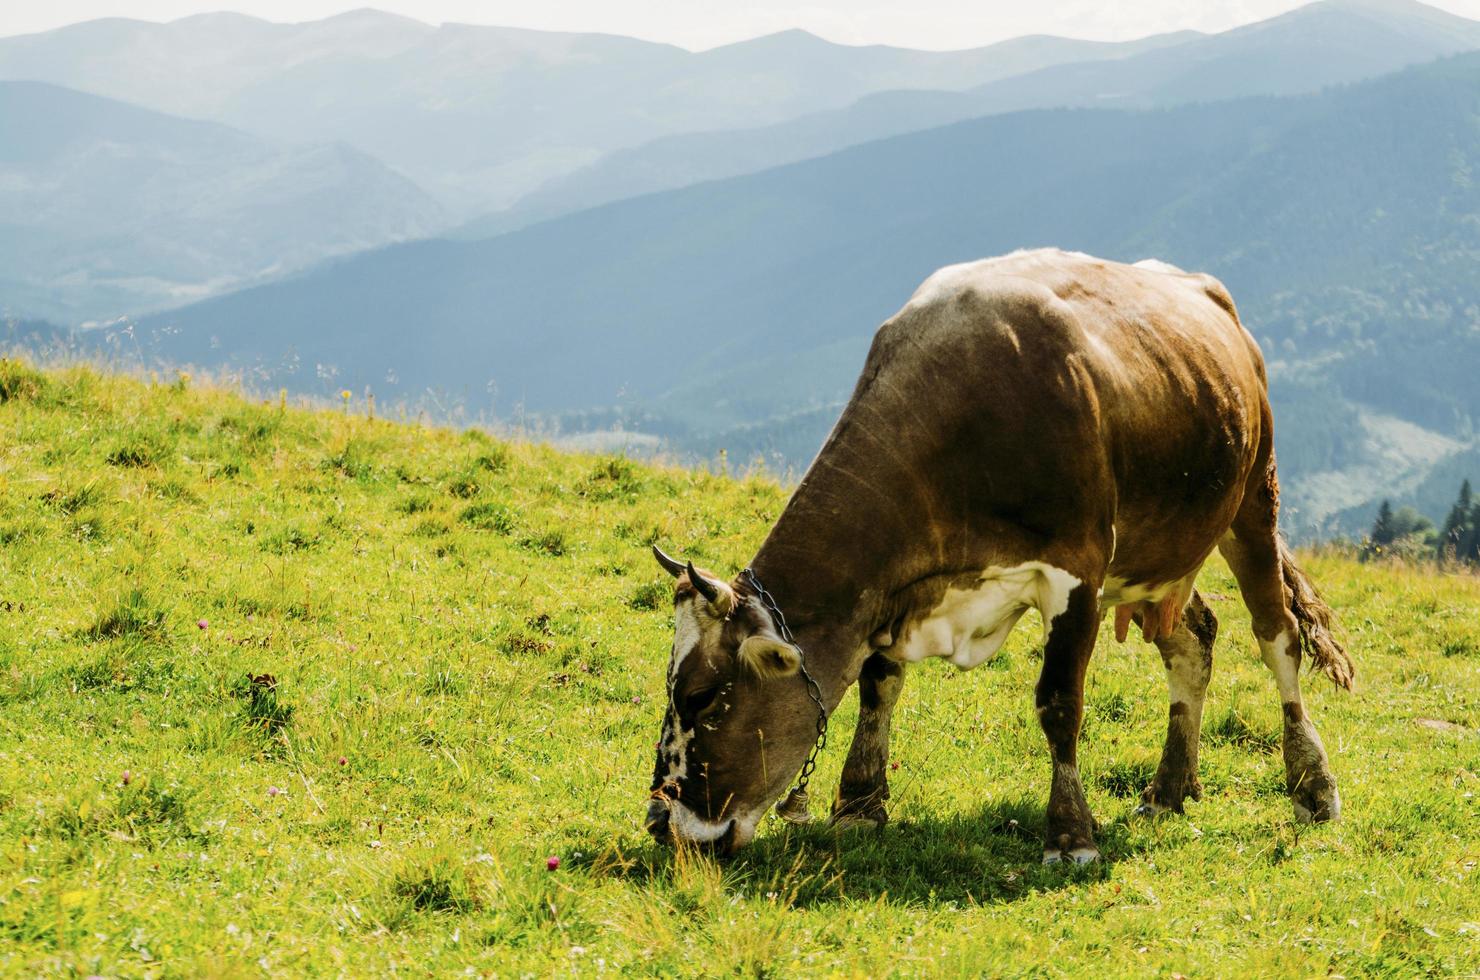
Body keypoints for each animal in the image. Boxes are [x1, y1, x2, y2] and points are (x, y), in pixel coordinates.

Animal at [648, 250, 1355, 864]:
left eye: (702, 696)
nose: (660, 821)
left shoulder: (1078, 570)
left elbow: (1059, 702)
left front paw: (1070, 835)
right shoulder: (899, 586)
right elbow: (878, 683)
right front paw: (858, 804)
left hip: (1253, 496)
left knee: (1278, 637)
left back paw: (1312, 785)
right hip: (1157, 556)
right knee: (1195, 640)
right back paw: (1170, 789)